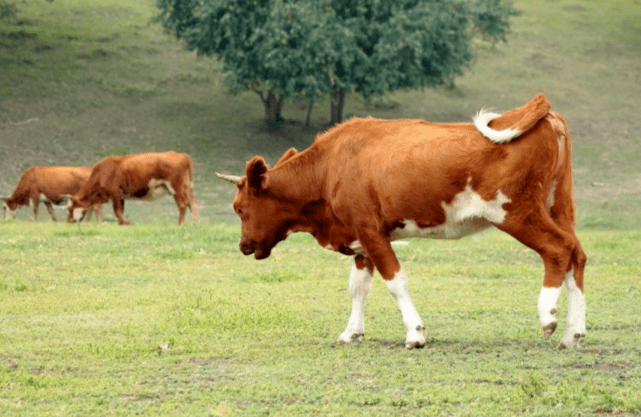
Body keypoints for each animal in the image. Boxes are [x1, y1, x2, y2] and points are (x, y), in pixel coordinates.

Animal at [66, 151, 198, 226]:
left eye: (70, 208)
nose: (68, 220)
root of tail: (182, 155)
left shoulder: (115, 192)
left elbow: (117, 211)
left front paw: (125, 222)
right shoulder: (121, 195)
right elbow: (121, 210)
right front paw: (122, 223)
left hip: (177, 188)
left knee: (183, 204)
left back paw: (180, 224)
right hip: (187, 187)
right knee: (192, 203)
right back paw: (196, 223)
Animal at [218, 93, 588, 348]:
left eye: (239, 208)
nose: (243, 246)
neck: (329, 167)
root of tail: (543, 112)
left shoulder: (370, 231)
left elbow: (395, 281)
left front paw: (415, 333)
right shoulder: (360, 239)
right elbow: (358, 287)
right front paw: (351, 332)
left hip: (516, 213)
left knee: (558, 249)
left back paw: (548, 316)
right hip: (559, 206)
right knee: (576, 254)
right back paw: (573, 332)